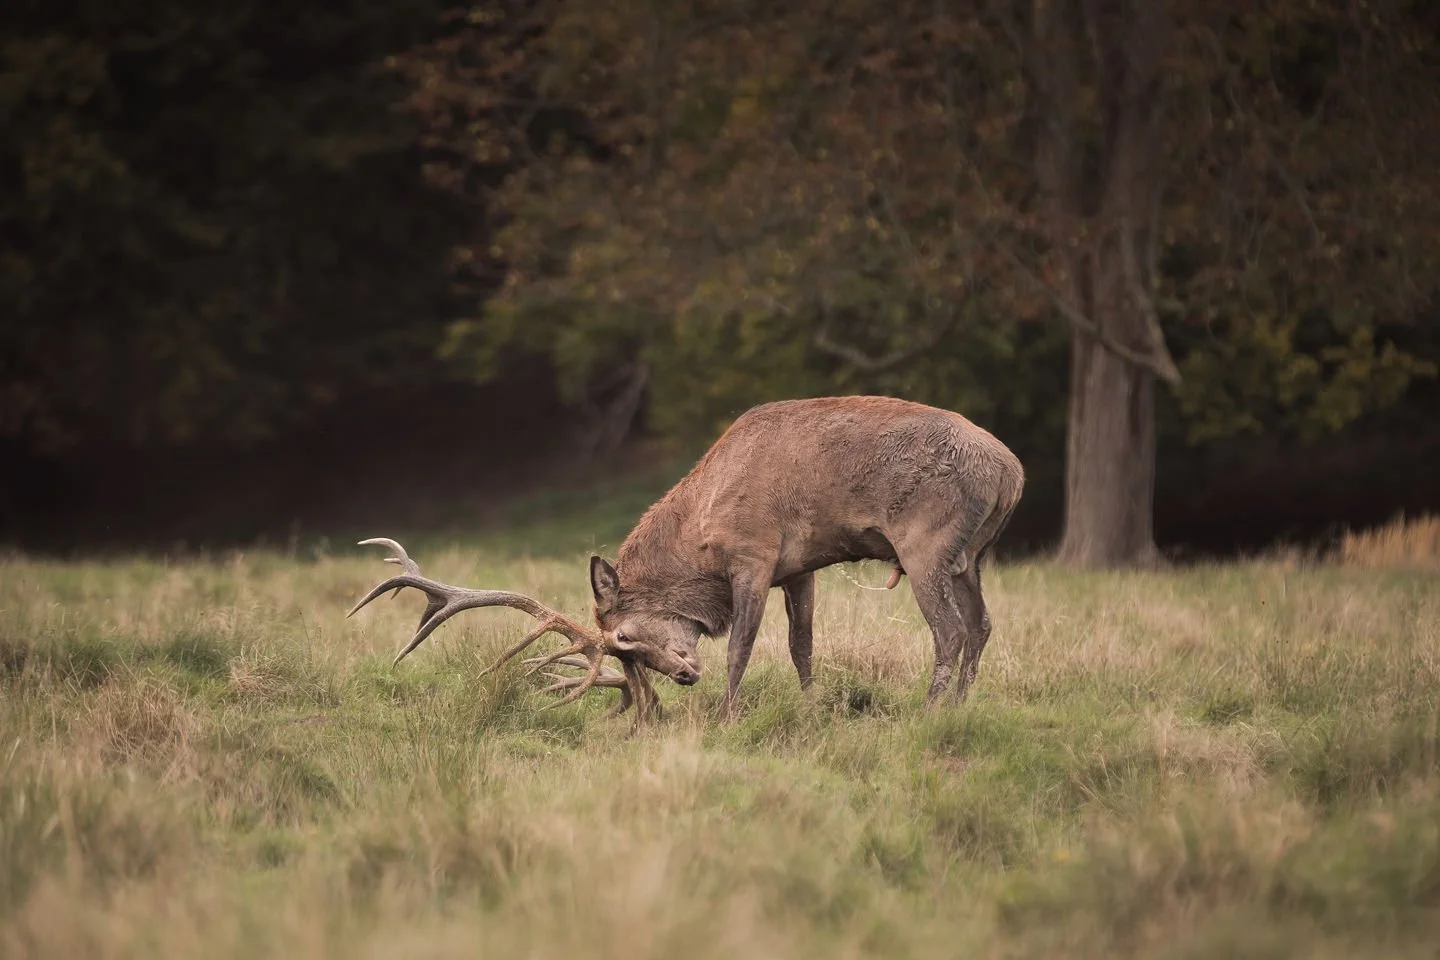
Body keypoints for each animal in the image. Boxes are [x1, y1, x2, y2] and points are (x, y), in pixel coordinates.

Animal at [347, 395, 1024, 721]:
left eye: (624, 638)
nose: (681, 677)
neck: (701, 528)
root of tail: (1012, 471)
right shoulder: (800, 566)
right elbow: (803, 644)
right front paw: (812, 707)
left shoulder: (754, 552)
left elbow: (742, 644)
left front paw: (727, 714)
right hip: (972, 556)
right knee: (983, 624)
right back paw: (960, 707)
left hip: (926, 542)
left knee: (950, 630)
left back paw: (930, 711)